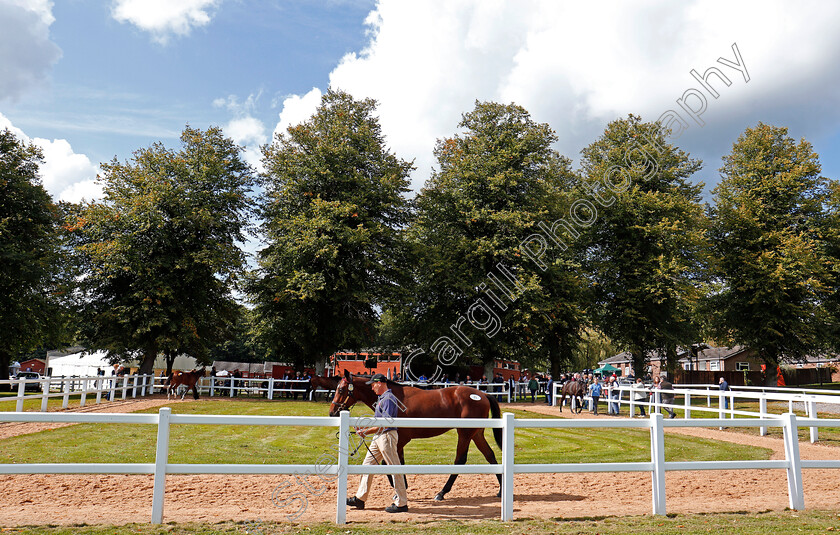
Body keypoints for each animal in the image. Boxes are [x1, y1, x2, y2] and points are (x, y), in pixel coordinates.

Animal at [328, 368, 498, 502]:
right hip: (477, 434)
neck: (396, 399)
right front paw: (402, 488)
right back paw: (500, 491)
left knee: (460, 460)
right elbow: (399, 463)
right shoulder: (399, 441)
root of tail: (481, 394)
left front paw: (399, 490)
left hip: (465, 433)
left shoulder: (401, 440)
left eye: (341, 390)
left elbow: (387, 463)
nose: (332, 412)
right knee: (490, 455)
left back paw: (441, 493)